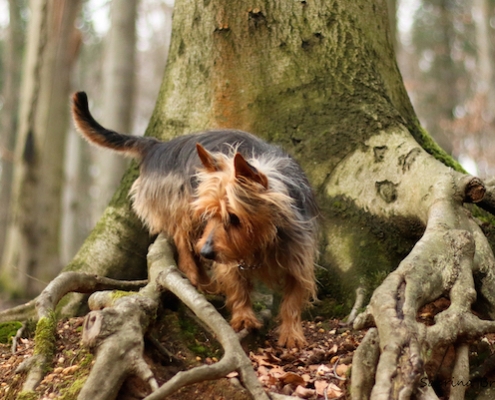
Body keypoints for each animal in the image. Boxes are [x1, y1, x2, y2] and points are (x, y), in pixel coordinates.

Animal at [71, 90, 320, 346]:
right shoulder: (226, 254)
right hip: (183, 208)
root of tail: (159, 145)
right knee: (183, 243)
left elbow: (293, 297)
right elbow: (238, 286)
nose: (207, 252)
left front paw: (291, 333)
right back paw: (195, 278)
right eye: (210, 214)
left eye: (234, 217)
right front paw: (243, 317)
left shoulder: (298, 255)